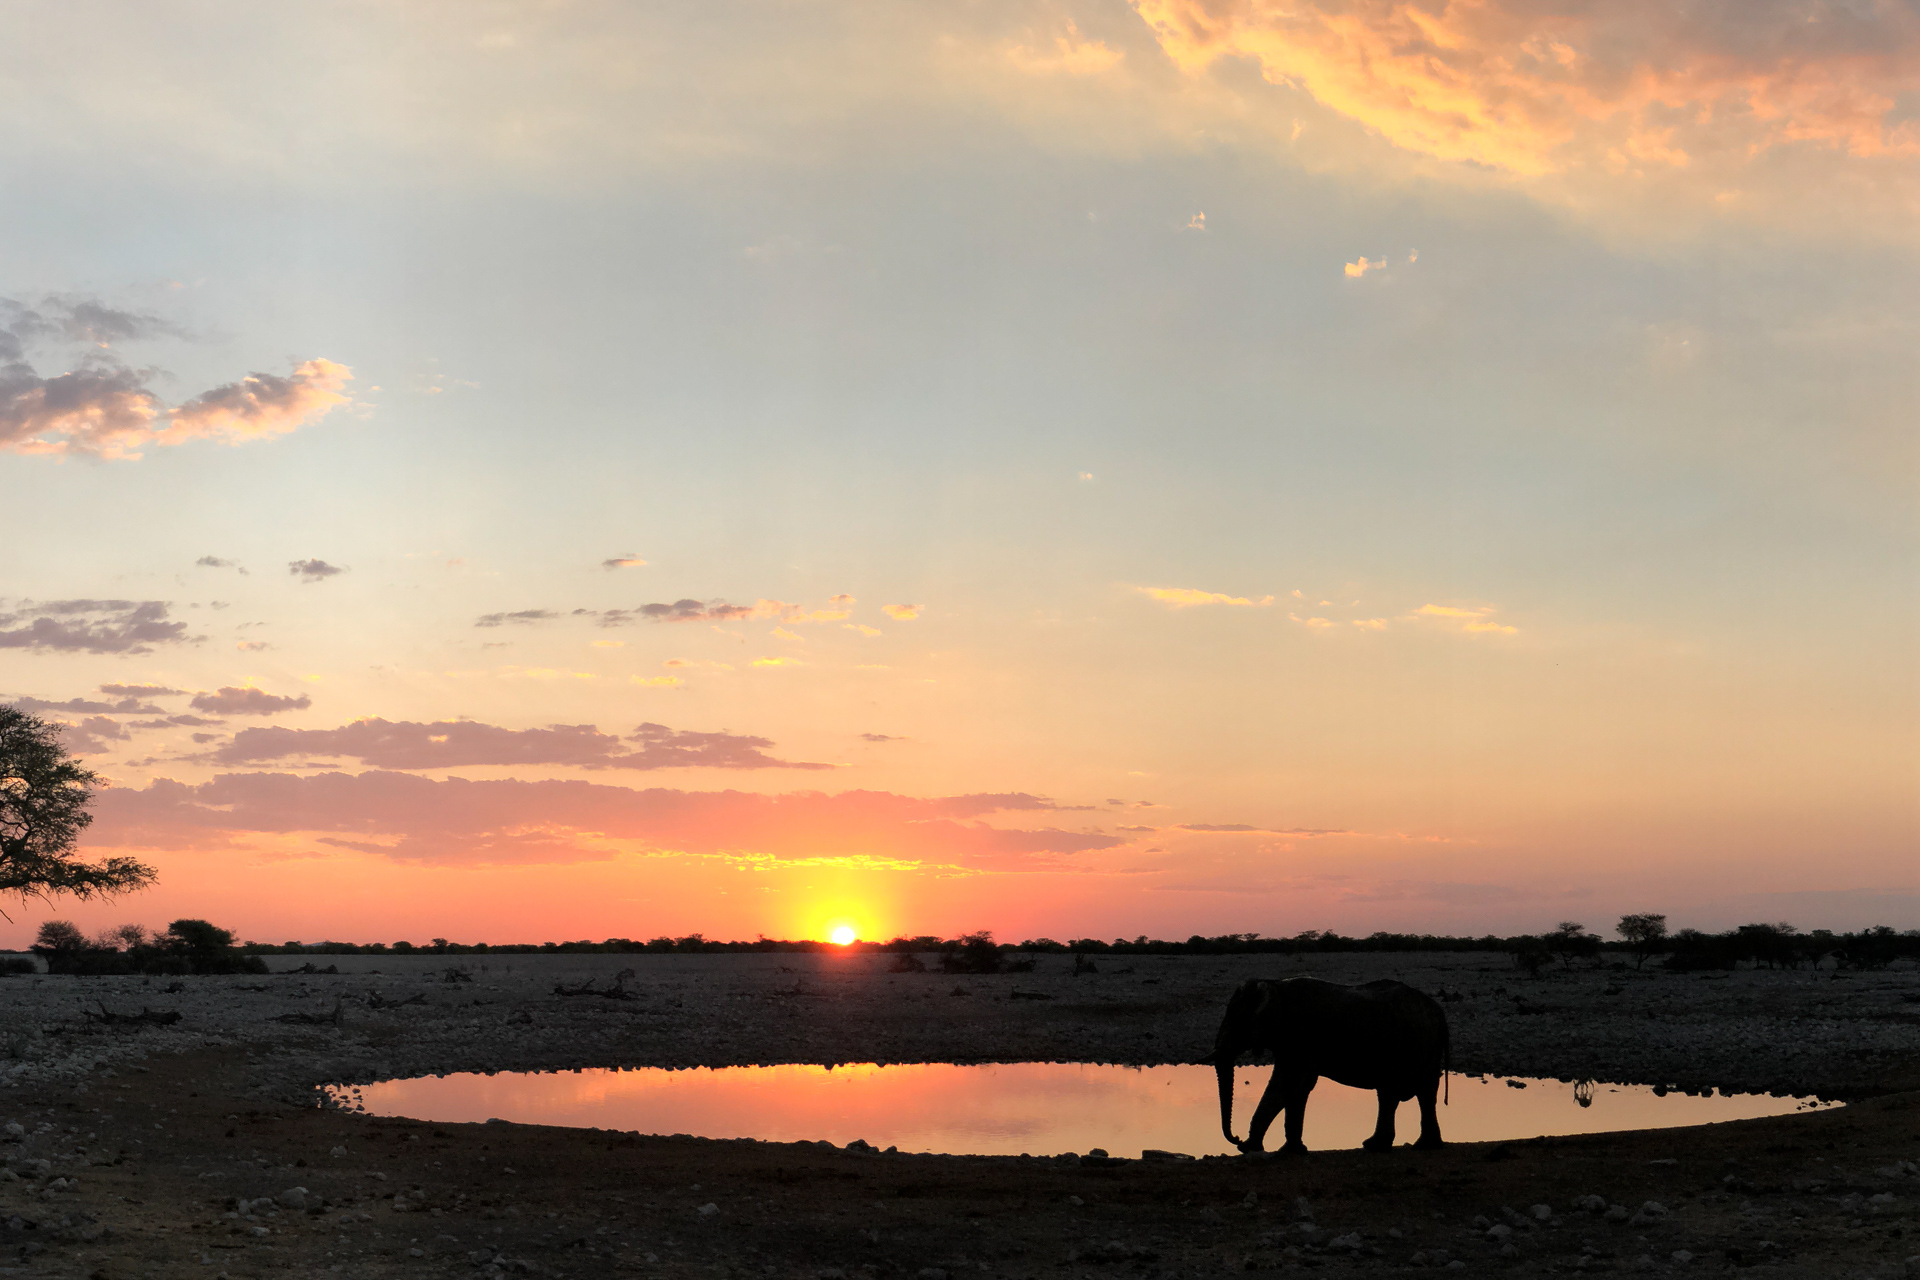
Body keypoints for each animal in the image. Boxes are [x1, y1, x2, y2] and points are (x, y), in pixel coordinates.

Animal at [1205, 974, 1443, 1159]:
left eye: (1235, 1019)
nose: (1235, 1137)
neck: (1275, 985)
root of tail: (1436, 1010)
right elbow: (1298, 1087)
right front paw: (1291, 1150)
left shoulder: (1299, 1036)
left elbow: (1286, 1082)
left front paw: (1247, 1148)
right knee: (1422, 1094)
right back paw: (1422, 1146)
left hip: (1406, 1046)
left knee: (1393, 1093)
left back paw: (1377, 1146)